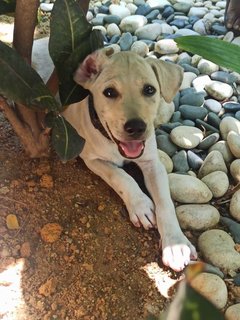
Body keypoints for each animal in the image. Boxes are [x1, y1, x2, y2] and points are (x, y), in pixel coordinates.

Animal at [62, 48, 197, 272]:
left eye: (150, 90)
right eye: (109, 92)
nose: (136, 127)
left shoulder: (153, 163)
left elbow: (165, 203)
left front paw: (176, 244)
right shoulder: (91, 158)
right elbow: (120, 176)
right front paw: (140, 205)